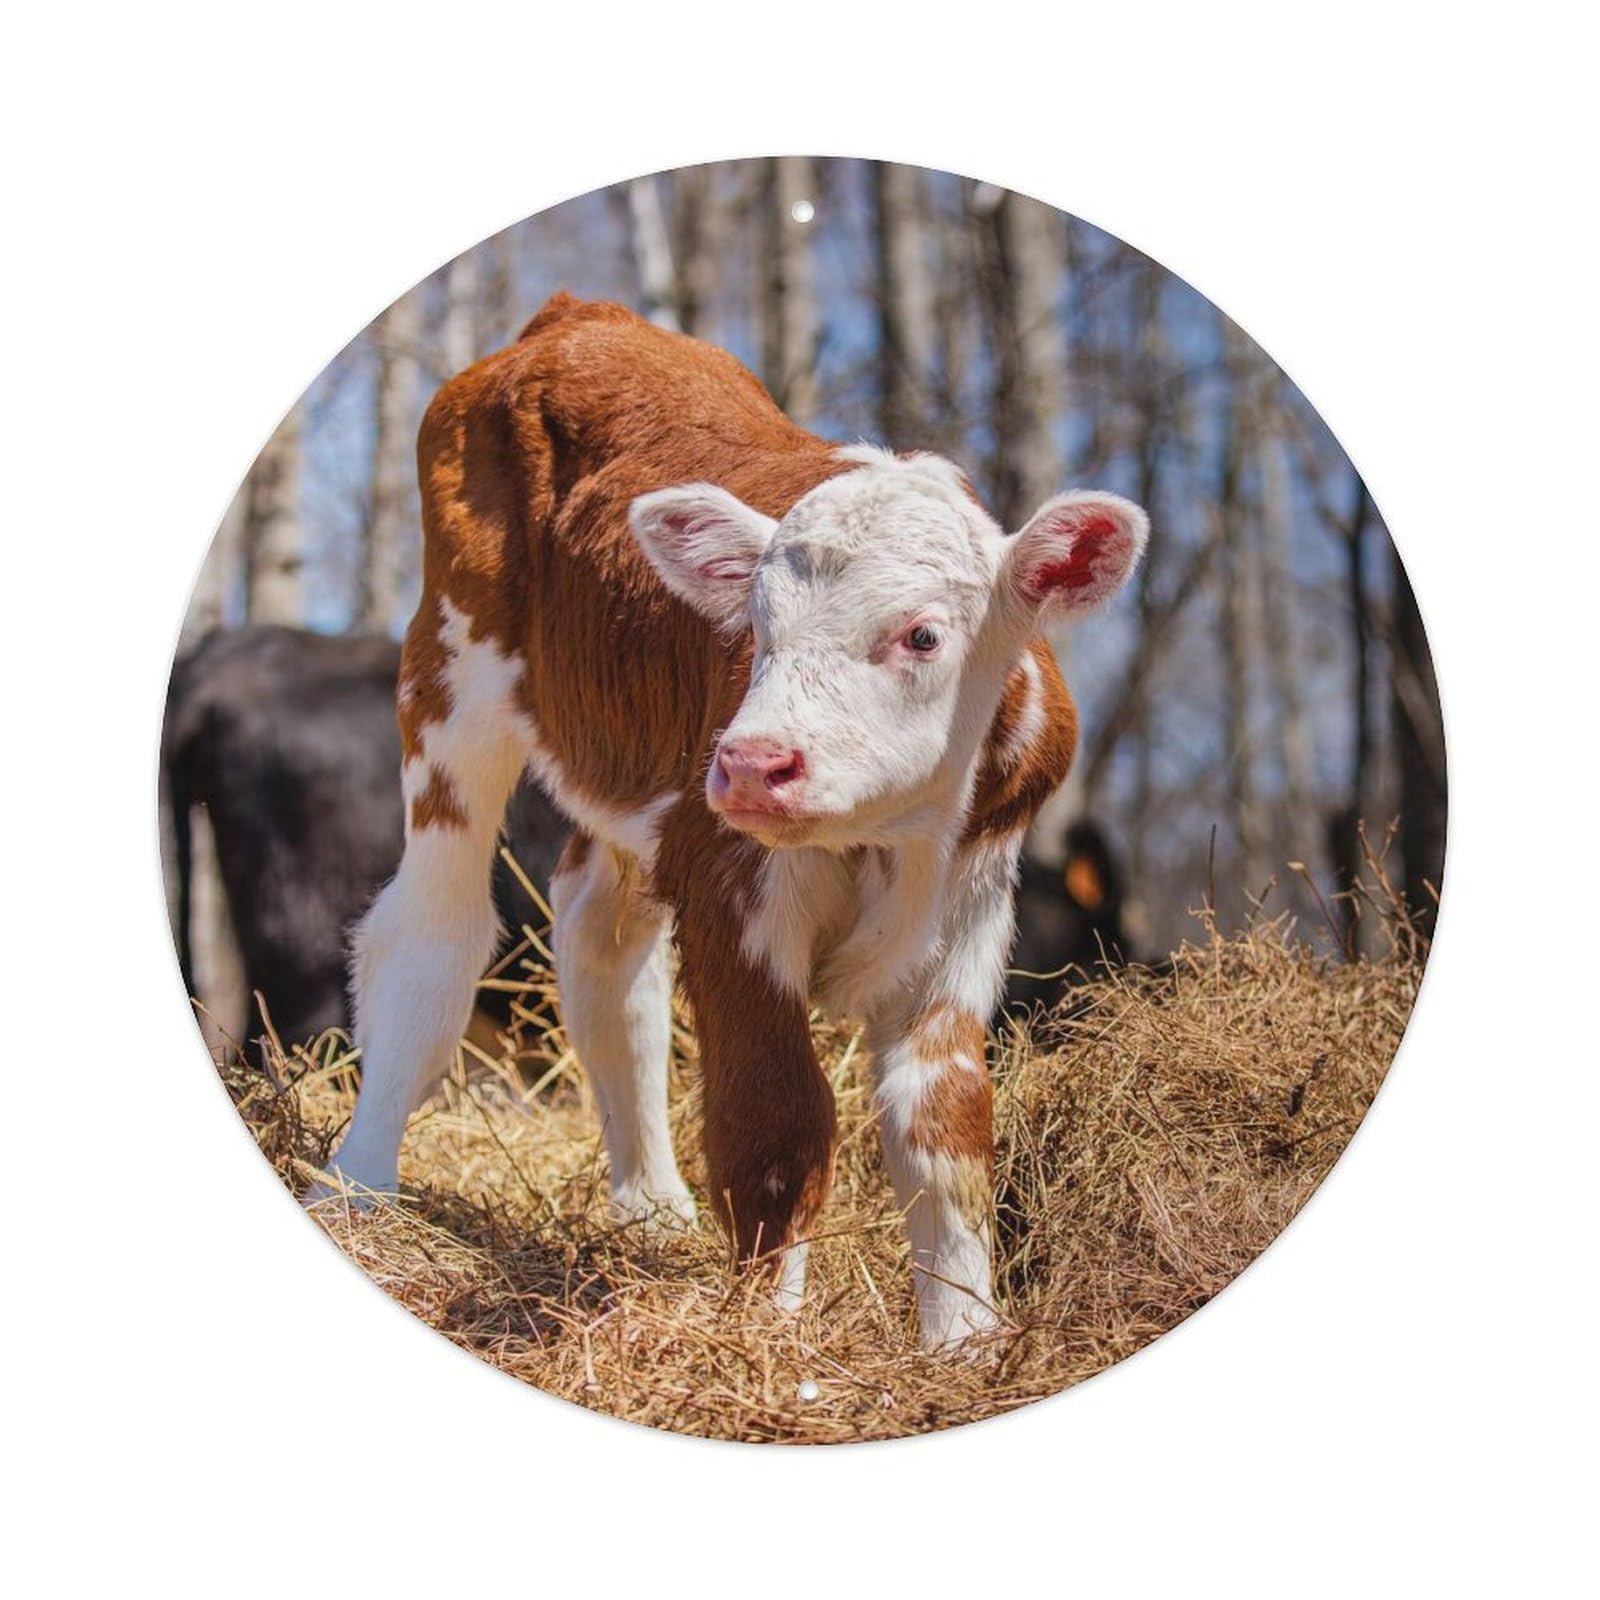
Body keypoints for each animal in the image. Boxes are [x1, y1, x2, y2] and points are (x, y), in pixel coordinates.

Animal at [314, 294, 1147, 1350]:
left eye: (923, 635)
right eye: (754, 627)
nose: (752, 763)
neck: (893, 840)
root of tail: (581, 318)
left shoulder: (970, 905)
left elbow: (944, 1124)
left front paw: (965, 1343)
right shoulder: (728, 888)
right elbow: (776, 1118)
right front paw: (765, 1340)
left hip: (632, 793)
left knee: (603, 952)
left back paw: (650, 1209)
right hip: (452, 675)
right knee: (432, 938)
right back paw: (356, 1190)